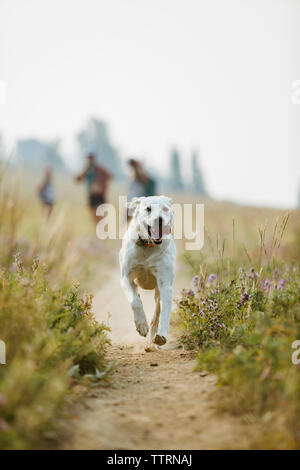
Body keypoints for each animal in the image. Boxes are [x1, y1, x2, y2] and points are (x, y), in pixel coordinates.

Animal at [119, 195, 176, 346]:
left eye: (165, 209)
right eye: (148, 209)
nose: (159, 220)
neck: (148, 245)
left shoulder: (165, 284)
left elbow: (164, 311)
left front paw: (161, 335)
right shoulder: (125, 278)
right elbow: (134, 301)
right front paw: (141, 324)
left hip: (158, 291)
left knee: (157, 311)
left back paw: (153, 338)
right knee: (136, 294)